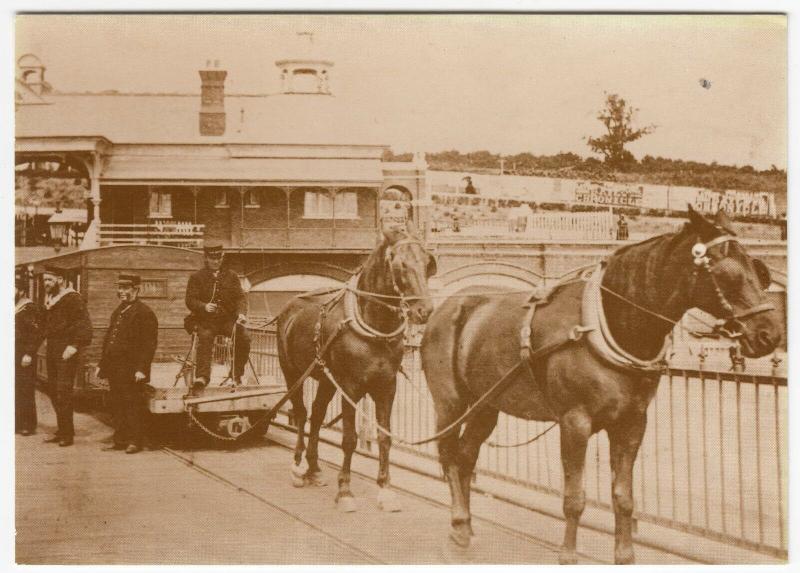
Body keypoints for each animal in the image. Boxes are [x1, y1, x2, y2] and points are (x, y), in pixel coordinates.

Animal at [276, 226, 438, 512]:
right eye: (400, 264)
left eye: (427, 263)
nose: (424, 310)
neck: (375, 329)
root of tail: (290, 307)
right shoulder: (350, 388)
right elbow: (349, 440)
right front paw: (345, 491)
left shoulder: (387, 388)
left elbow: (385, 438)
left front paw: (385, 490)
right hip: (292, 373)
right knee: (302, 413)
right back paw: (297, 467)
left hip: (327, 380)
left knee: (316, 415)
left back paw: (314, 469)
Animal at [422, 207, 784, 564]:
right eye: (727, 274)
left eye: (758, 270)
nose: (770, 334)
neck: (610, 322)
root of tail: (446, 307)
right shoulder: (574, 422)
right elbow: (574, 498)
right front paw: (568, 555)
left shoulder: (632, 422)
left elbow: (623, 496)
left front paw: (624, 555)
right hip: (450, 404)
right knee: (450, 457)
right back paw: (458, 525)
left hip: (485, 405)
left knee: (466, 457)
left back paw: (466, 527)